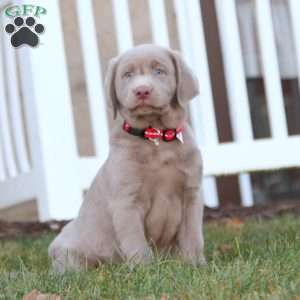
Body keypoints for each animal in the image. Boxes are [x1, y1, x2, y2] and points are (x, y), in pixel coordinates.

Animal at [48, 44, 206, 272]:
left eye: (159, 71)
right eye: (127, 75)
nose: (142, 90)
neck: (155, 138)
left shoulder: (191, 194)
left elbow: (193, 235)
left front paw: (194, 264)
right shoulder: (126, 201)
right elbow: (135, 240)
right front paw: (144, 270)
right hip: (67, 248)